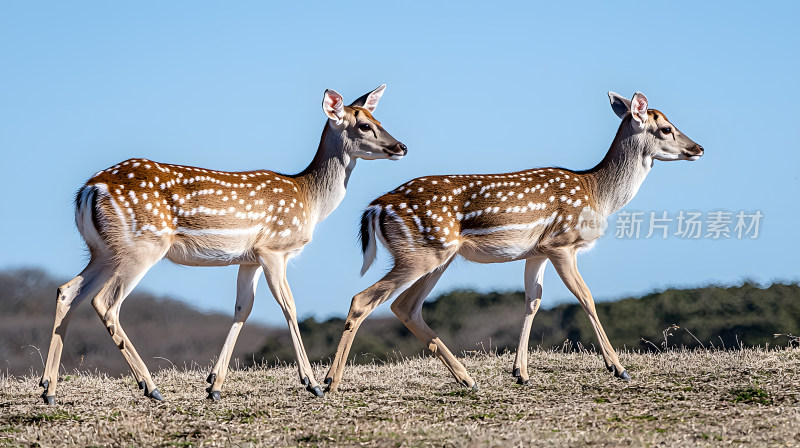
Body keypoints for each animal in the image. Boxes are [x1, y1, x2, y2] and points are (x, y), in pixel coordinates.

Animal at [39, 83, 406, 402]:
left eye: (379, 120)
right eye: (364, 126)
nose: (401, 147)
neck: (309, 199)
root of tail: (89, 190)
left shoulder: (248, 258)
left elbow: (243, 309)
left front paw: (214, 385)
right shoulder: (273, 248)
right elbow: (289, 306)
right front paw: (312, 383)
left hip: (103, 250)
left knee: (67, 291)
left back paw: (49, 389)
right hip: (140, 247)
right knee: (105, 302)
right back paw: (151, 387)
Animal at [324, 92, 700, 392]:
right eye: (666, 129)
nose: (698, 148)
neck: (597, 193)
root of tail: (375, 208)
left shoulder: (537, 251)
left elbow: (533, 301)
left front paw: (520, 372)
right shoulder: (562, 243)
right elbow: (586, 297)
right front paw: (618, 368)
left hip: (438, 256)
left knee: (405, 307)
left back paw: (467, 379)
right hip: (421, 253)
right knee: (364, 299)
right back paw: (330, 382)